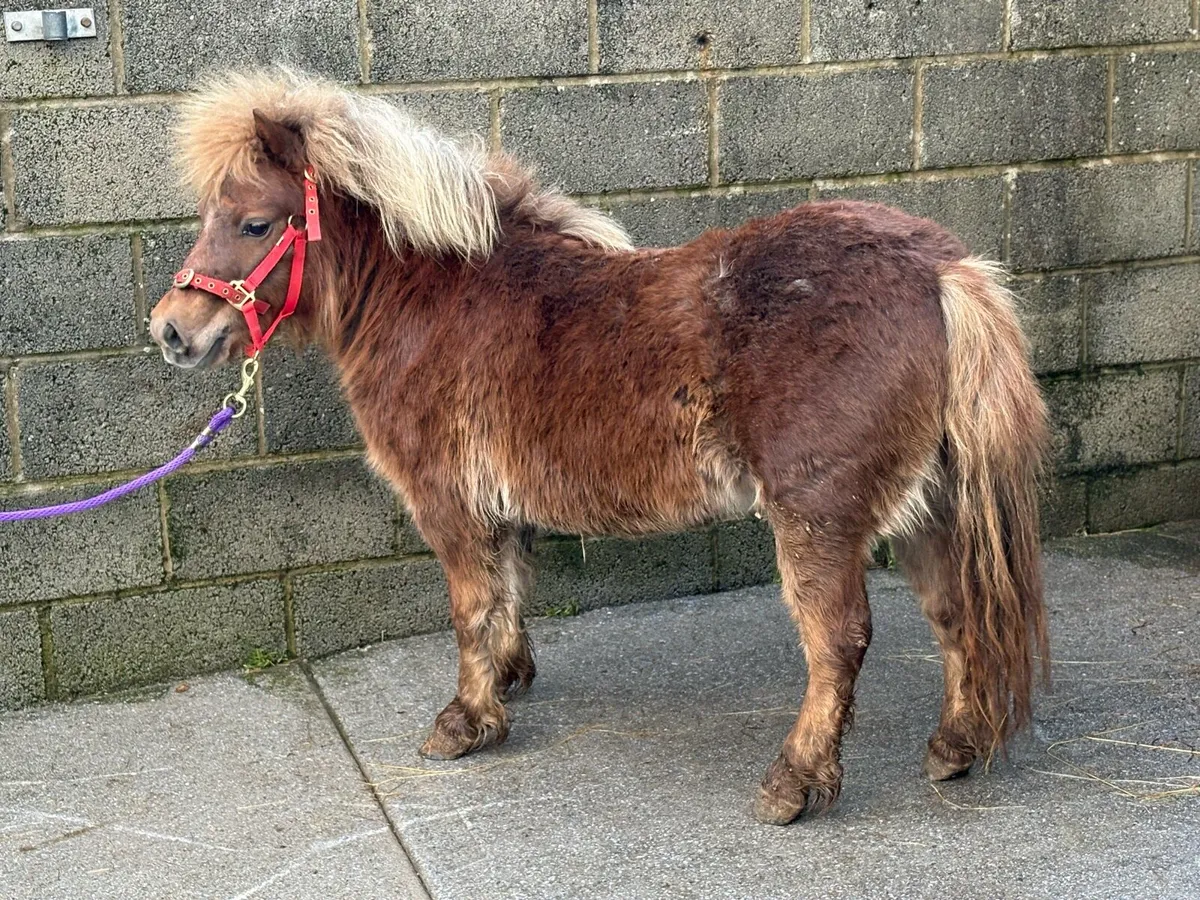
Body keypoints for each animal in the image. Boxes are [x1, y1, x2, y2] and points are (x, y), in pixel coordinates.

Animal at [149, 70, 1049, 826]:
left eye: (255, 222)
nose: (172, 331)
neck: (436, 297)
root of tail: (944, 271)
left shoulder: (449, 504)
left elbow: (471, 609)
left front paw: (465, 722)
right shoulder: (498, 506)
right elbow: (508, 592)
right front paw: (509, 682)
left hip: (819, 517)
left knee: (838, 641)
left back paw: (793, 784)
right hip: (929, 506)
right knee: (956, 611)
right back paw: (955, 747)